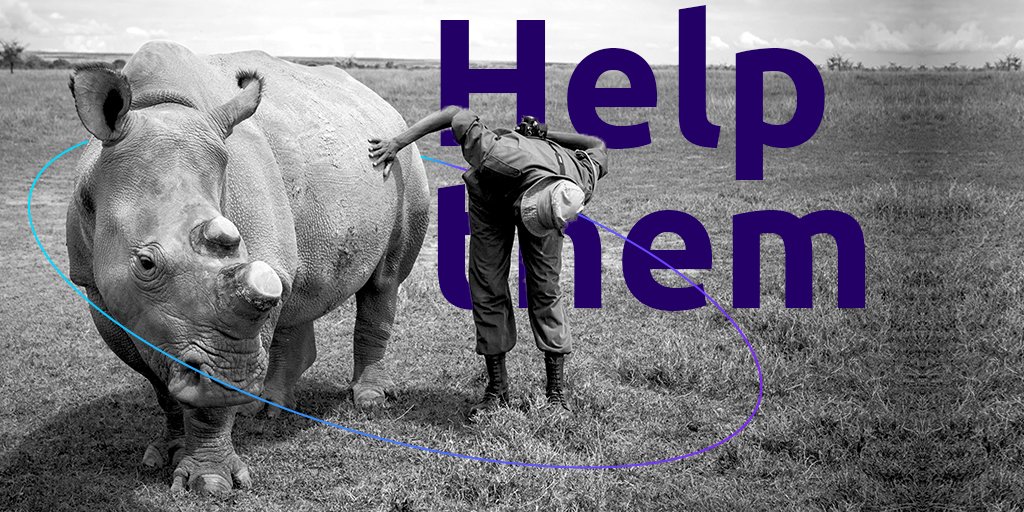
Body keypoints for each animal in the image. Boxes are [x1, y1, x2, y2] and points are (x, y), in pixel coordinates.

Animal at [65, 41, 429, 493]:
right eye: (146, 263)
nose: (233, 380)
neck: (161, 108)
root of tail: (383, 104)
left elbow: (209, 388)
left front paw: (208, 481)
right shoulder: (96, 286)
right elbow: (158, 378)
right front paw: (164, 452)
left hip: (403, 162)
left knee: (384, 280)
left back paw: (368, 401)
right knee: (300, 290)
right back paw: (271, 409)